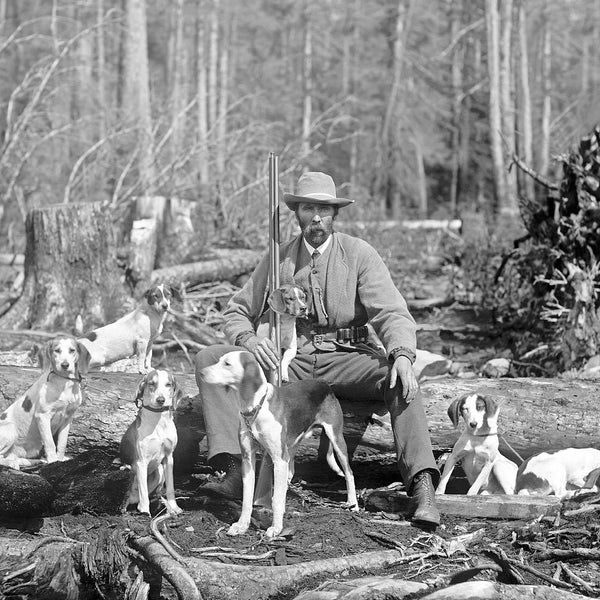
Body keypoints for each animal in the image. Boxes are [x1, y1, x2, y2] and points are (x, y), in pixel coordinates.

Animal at [0, 336, 90, 472]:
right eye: (57, 350)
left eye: (72, 350)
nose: (65, 365)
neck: (64, 382)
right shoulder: (43, 416)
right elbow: (50, 444)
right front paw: (53, 461)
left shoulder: (68, 419)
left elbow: (62, 444)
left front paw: (60, 460)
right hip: (10, 429)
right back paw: (12, 463)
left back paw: (32, 461)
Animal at [118, 370, 182, 516]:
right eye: (152, 383)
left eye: (168, 384)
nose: (161, 400)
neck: (158, 422)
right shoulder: (141, 462)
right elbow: (144, 492)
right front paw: (145, 512)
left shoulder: (169, 458)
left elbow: (170, 488)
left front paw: (174, 507)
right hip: (131, 471)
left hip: (160, 470)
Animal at [199, 350, 358, 536]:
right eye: (219, 361)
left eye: (227, 364)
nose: (201, 373)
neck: (256, 408)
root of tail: (324, 384)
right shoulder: (248, 459)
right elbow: (247, 498)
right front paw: (242, 525)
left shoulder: (278, 459)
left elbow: (275, 501)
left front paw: (276, 528)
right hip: (291, 448)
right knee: (289, 474)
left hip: (336, 439)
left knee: (349, 473)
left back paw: (353, 503)